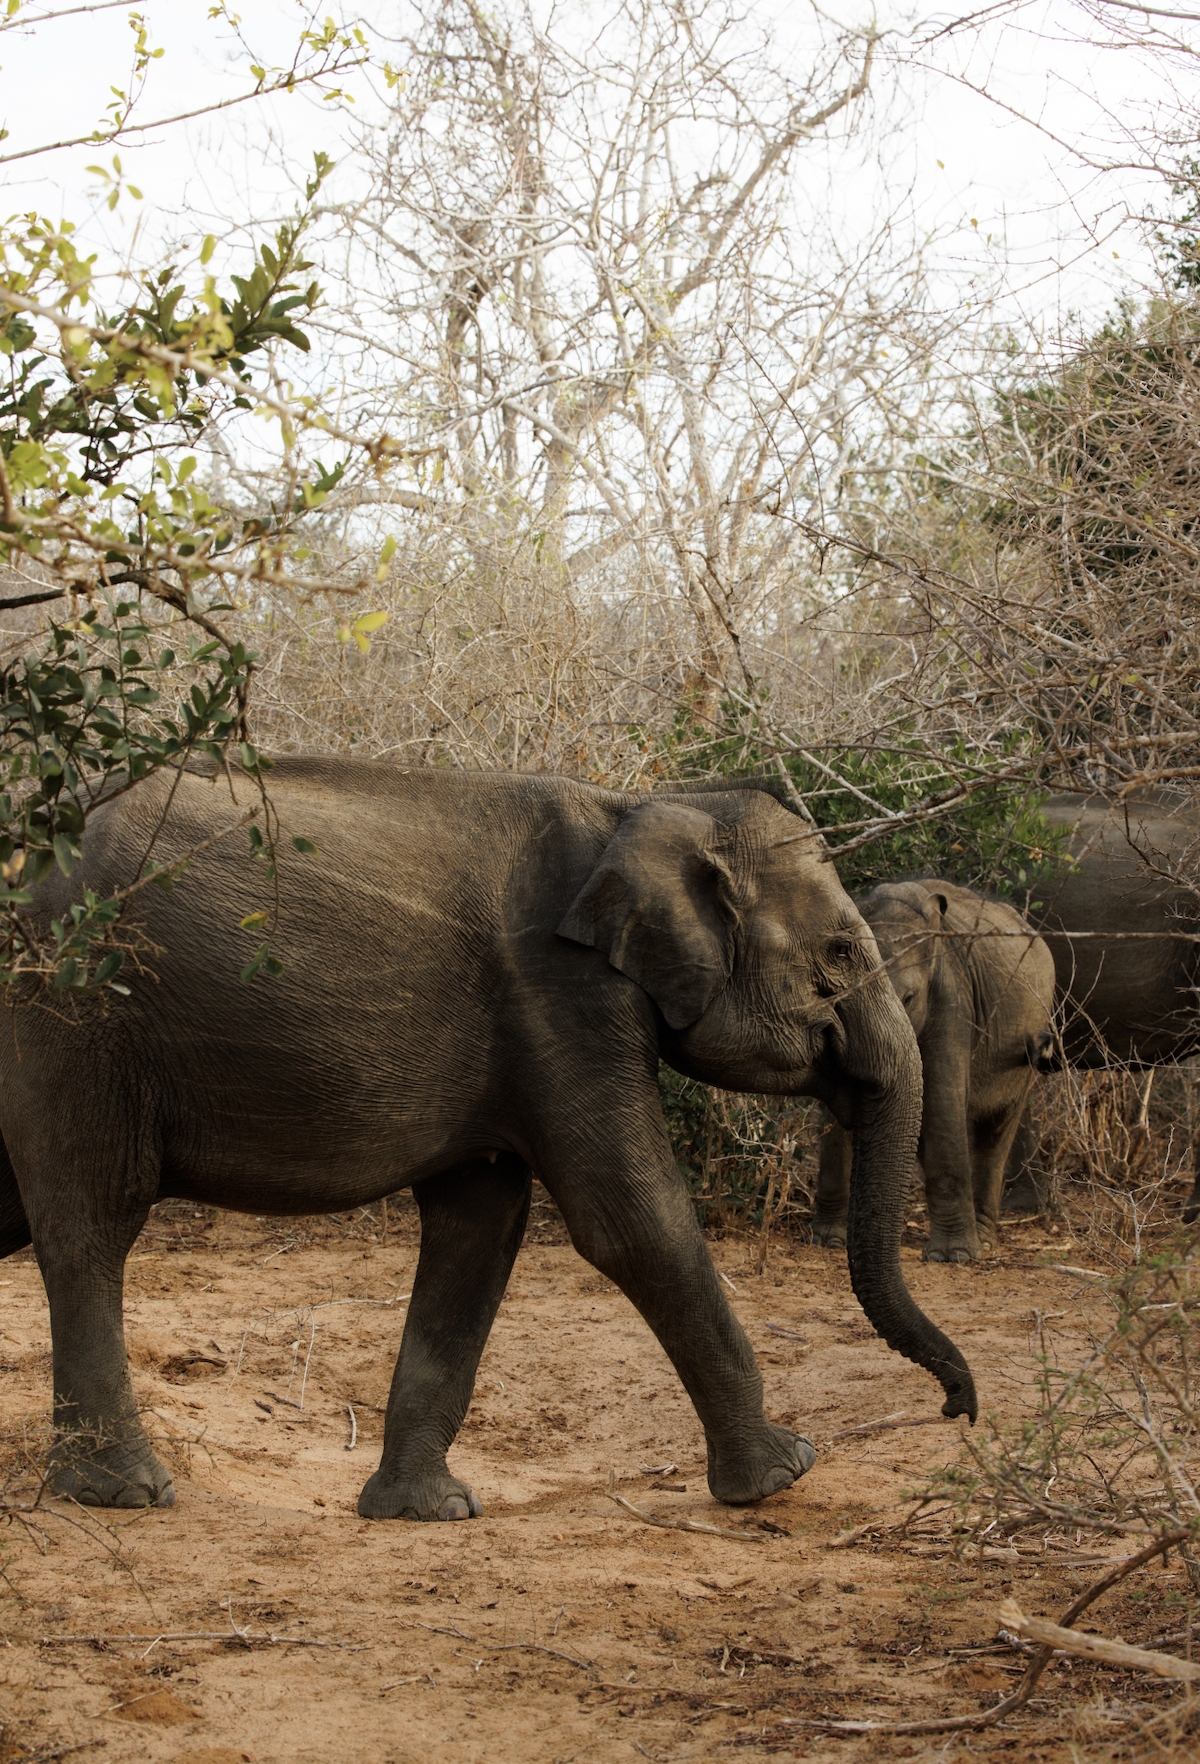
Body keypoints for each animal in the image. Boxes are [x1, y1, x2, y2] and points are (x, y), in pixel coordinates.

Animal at [0, 759, 976, 1515]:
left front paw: (424, 1513)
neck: (643, 808)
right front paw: (783, 1475)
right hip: (74, 1016)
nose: (957, 1413)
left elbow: (481, 1228)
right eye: (840, 955)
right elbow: (633, 1222)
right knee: (91, 1225)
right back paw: (123, 1494)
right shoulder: (566, 1001)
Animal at [810, 881, 1058, 1263]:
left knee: (996, 1129)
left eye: (909, 998)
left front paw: (954, 1256)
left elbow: (943, 1104)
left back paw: (983, 1240)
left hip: (1028, 1042)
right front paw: (826, 1240)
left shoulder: (952, 1002)